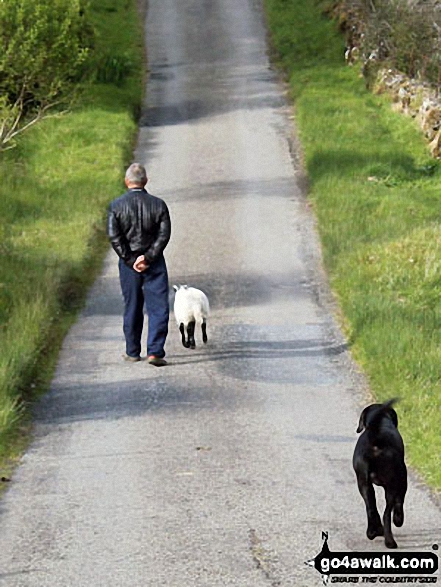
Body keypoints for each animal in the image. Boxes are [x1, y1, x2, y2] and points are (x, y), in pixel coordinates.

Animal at [352, 402, 408, 548]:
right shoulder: (402, 480)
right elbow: (400, 502)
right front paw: (398, 520)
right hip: (391, 484)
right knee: (386, 513)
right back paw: (390, 541)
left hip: (363, 483)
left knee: (371, 507)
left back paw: (373, 532)